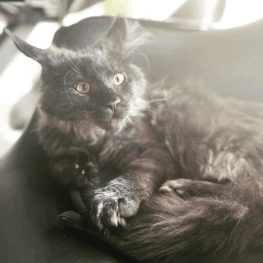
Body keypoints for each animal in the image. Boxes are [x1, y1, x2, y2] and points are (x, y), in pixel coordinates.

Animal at [5, 18, 263, 263]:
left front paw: (115, 197)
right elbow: (58, 161)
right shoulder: (55, 138)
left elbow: (137, 173)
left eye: (119, 78)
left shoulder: (156, 153)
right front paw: (79, 169)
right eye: (82, 87)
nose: (113, 102)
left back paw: (181, 187)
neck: (98, 138)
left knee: (248, 190)